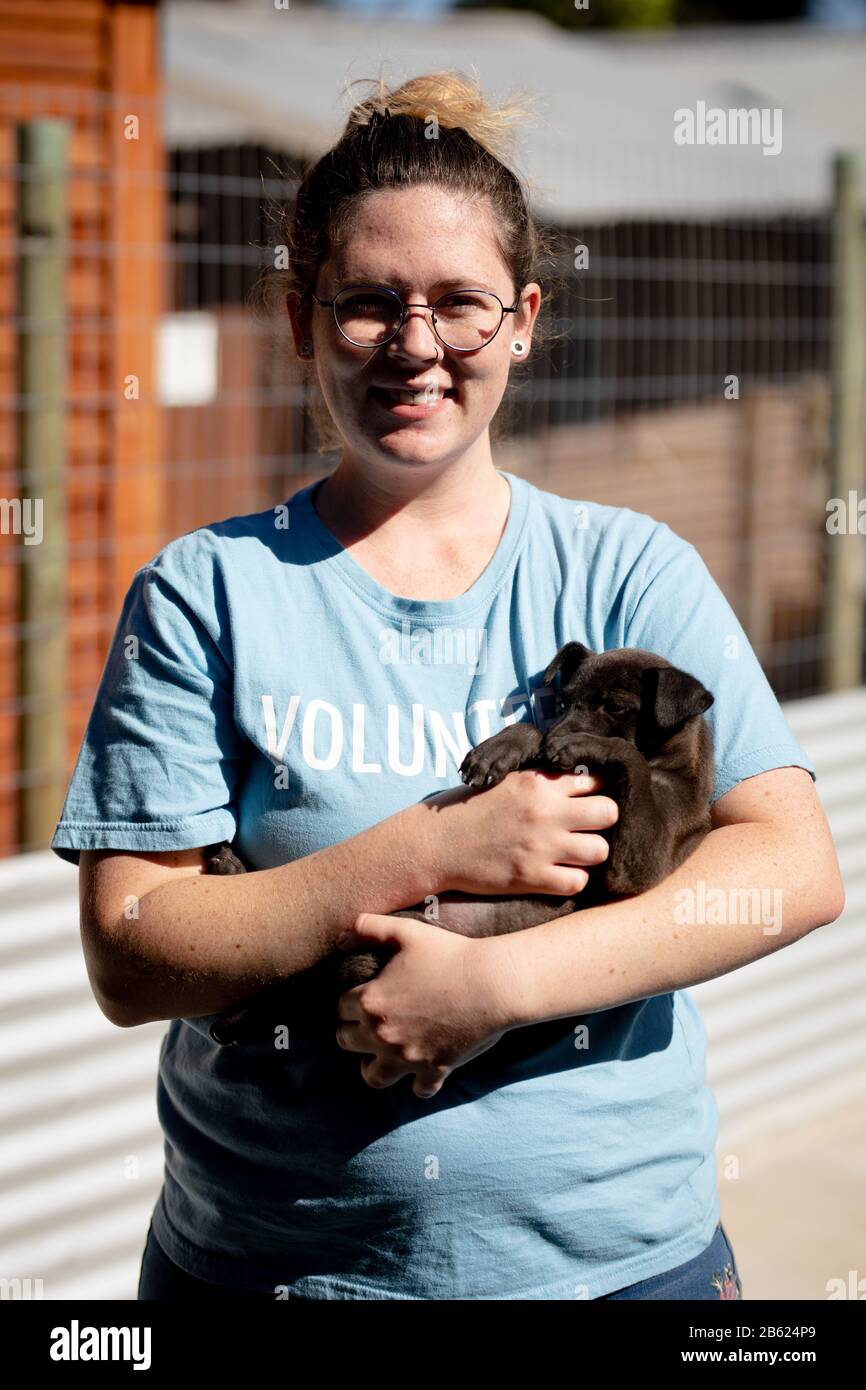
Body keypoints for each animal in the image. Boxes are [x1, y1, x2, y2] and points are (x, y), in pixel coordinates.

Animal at [204, 639, 717, 1045]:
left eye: (615, 708)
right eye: (563, 702)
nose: (561, 733)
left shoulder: (641, 863)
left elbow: (628, 756)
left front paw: (584, 747)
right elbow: (530, 730)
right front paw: (503, 747)